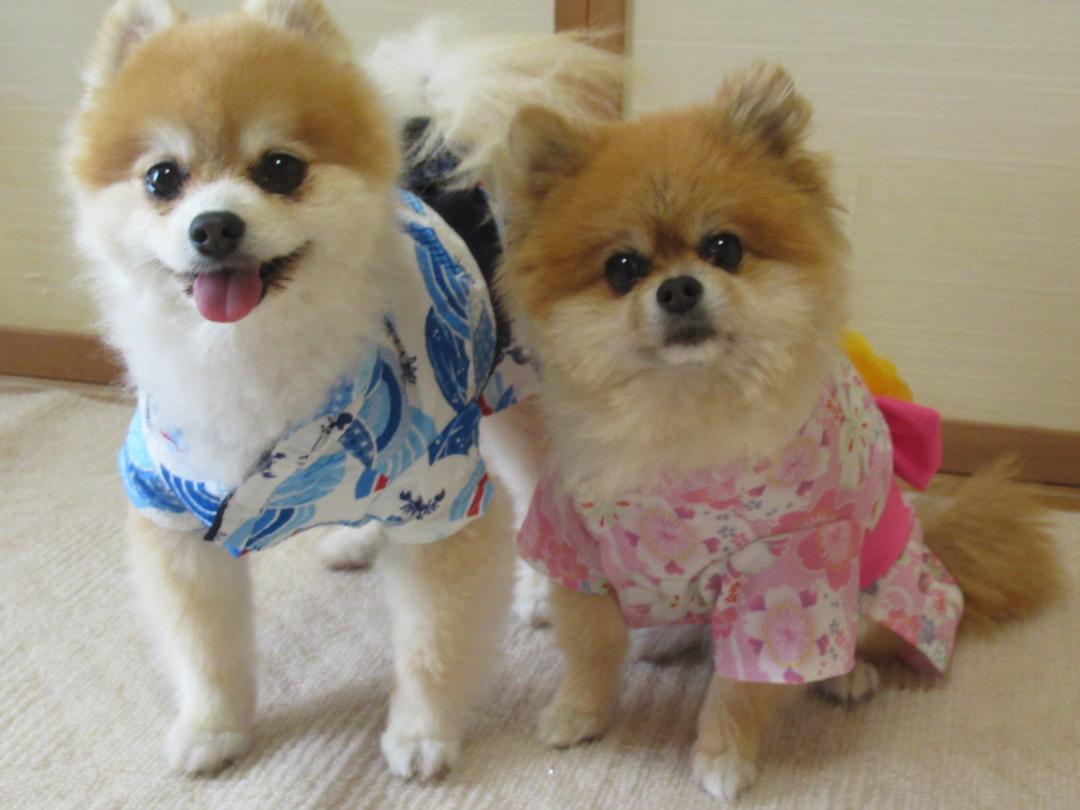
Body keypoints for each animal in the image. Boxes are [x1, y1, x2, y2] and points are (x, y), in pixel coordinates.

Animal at [63, 0, 618, 779]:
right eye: (162, 178)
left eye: (280, 168)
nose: (214, 225)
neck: (254, 356)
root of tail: (436, 138)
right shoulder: (174, 508)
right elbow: (205, 648)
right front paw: (213, 728)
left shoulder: (443, 499)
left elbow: (431, 644)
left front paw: (422, 734)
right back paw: (357, 538)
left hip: (516, 389)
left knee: (543, 485)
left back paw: (542, 586)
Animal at [494, 63, 1062, 801]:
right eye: (622, 268)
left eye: (724, 248)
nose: (679, 288)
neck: (684, 417)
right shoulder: (579, 553)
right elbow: (592, 649)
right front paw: (578, 713)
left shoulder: (783, 577)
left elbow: (740, 686)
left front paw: (722, 756)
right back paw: (667, 636)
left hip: (875, 585)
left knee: (868, 636)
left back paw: (849, 675)